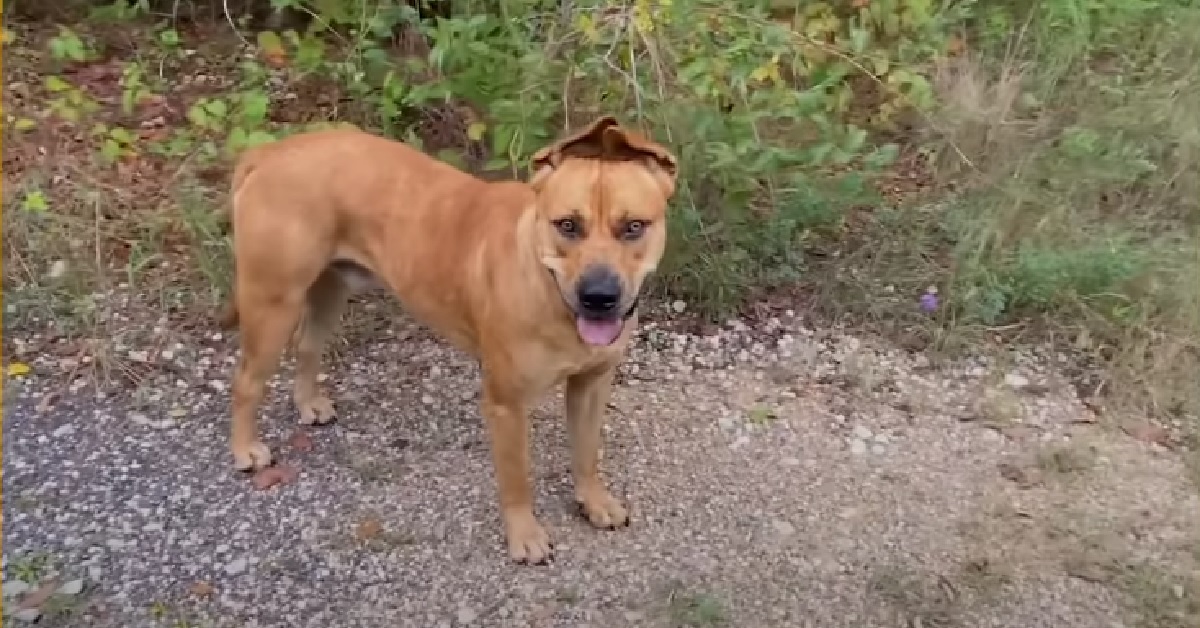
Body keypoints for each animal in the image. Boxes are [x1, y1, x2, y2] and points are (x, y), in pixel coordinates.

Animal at [222, 116, 681, 564]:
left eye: (634, 227)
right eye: (567, 225)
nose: (599, 296)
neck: (549, 289)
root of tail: (269, 151)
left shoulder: (592, 385)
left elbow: (586, 453)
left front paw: (594, 501)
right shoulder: (506, 405)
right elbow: (516, 479)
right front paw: (524, 536)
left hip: (329, 289)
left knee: (307, 345)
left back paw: (309, 404)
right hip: (273, 302)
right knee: (246, 382)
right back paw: (245, 450)